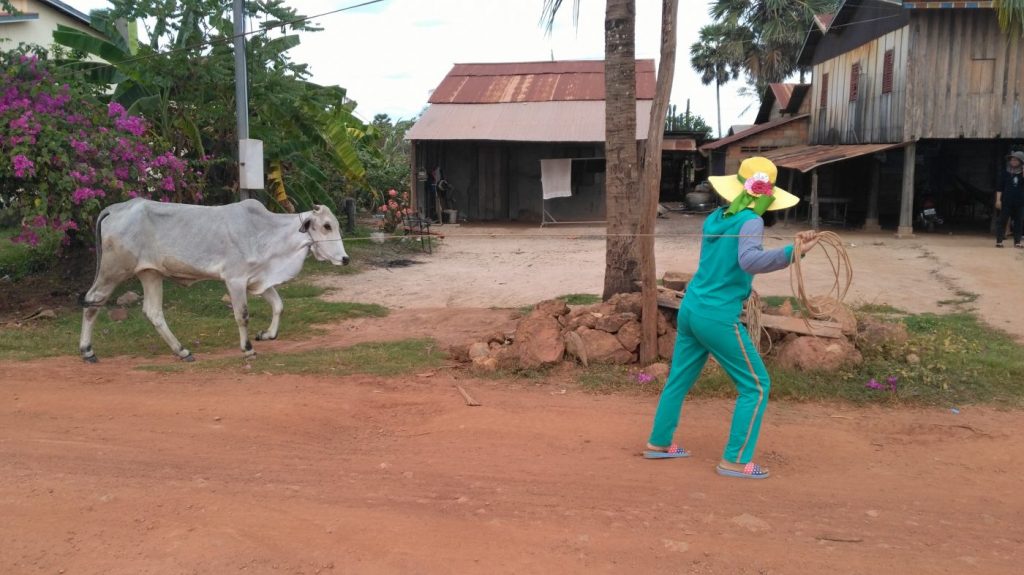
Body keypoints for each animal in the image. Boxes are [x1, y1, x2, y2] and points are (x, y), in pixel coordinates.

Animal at [77, 196, 350, 358]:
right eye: (326, 226)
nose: (345, 258)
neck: (266, 233)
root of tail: (115, 208)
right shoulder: (235, 280)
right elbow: (242, 315)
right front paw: (247, 348)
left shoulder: (257, 280)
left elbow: (278, 305)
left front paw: (267, 334)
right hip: (113, 270)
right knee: (93, 302)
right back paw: (87, 350)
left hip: (150, 273)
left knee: (153, 312)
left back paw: (182, 351)